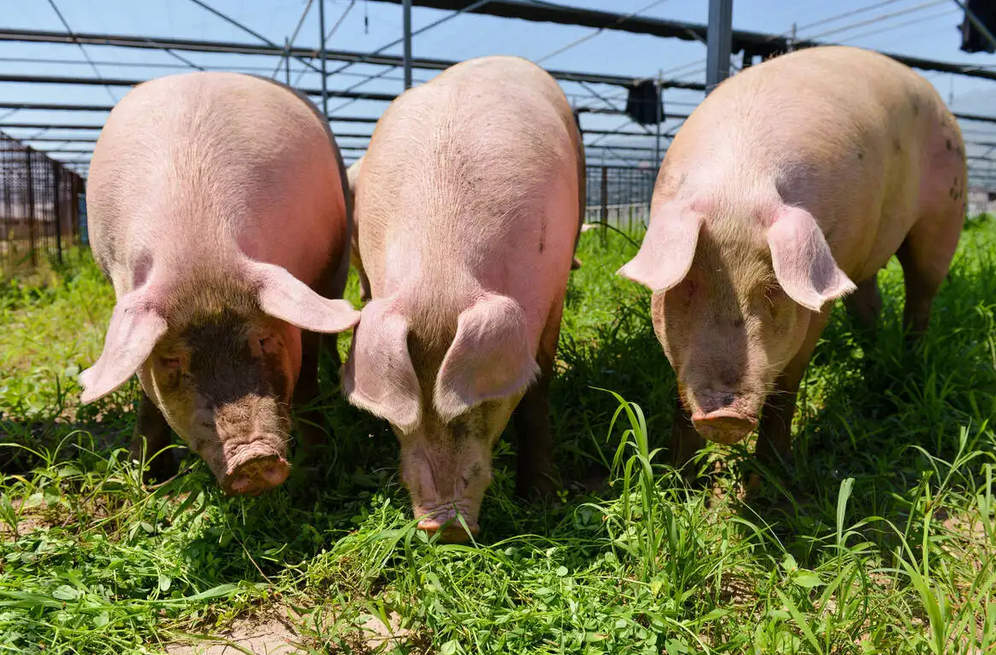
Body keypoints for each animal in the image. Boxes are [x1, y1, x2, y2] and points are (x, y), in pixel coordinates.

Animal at [79, 72, 358, 494]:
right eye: (172, 359)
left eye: (263, 339)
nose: (252, 458)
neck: (198, 246)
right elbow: (146, 397)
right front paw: (148, 477)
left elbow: (307, 371)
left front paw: (318, 465)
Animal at [346, 56, 588, 540]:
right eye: (400, 419)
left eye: (485, 403)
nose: (444, 527)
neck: (440, 276)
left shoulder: (551, 296)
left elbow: (539, 389)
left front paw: (542, 497)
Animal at [624, 44, 964, 466]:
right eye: (686, 286)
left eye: (772, 290)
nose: (723, 415)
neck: (739, 185)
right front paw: (676, 471)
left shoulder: (816, 306)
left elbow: (786, 388)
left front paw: (771, 472)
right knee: (869, 301)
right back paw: (872, 360)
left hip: (946, 213)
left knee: (921, 294)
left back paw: (909, 365)